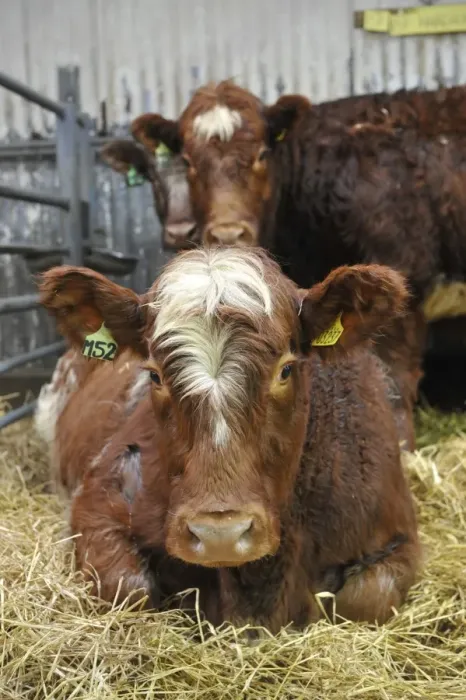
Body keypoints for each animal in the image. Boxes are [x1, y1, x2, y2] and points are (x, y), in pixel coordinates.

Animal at [37, 246, 421, 632]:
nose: (219, 536)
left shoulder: (398, 530)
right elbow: (129, 588)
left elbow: (366, 598)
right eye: (154, 376)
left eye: (286, 369)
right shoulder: (97, 500)